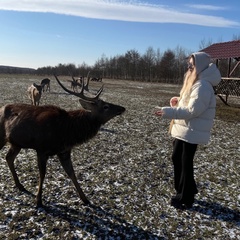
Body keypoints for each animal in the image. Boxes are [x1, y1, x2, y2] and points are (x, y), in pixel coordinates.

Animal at [0, 76, 126, 207]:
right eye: (105, 106)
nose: (122, 108)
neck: (67, 132)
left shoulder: (64, 151)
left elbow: (72, 173)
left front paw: (85, 199)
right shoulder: (41, 149)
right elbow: (42, 174)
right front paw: (38, 201)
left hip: (16, 143)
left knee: (9, 158)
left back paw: (20, 185)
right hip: (2, 136)